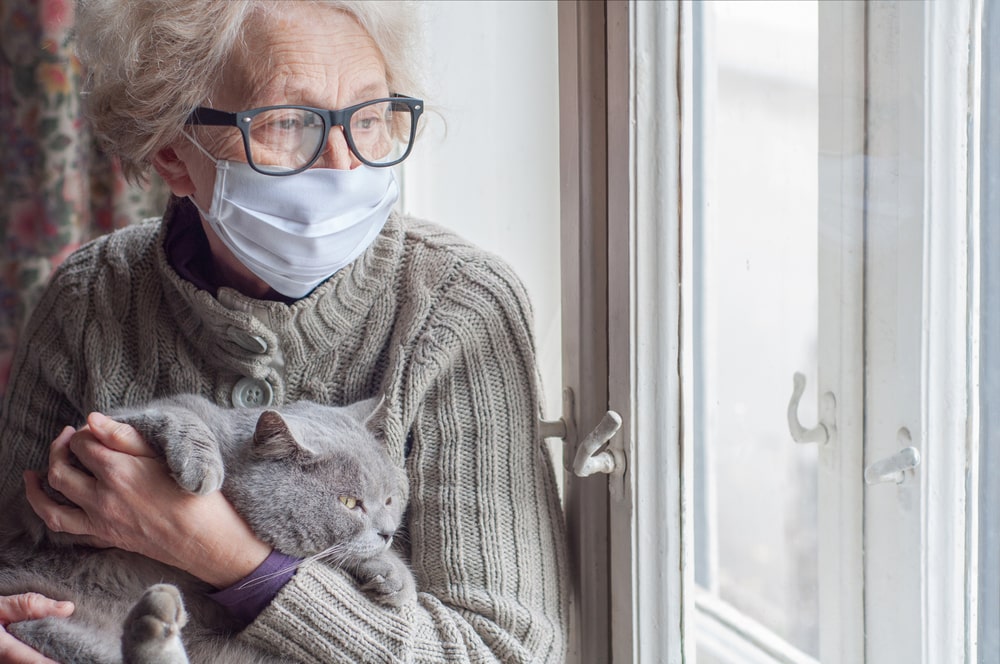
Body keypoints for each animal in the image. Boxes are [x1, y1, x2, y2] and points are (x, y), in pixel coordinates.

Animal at [0, 394, 410, 664]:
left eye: (390, 499)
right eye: (349, 503)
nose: (387, 532)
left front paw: (393, 575)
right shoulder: (57, 484)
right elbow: (176, 413)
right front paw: (202, 463)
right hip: (41, 615)